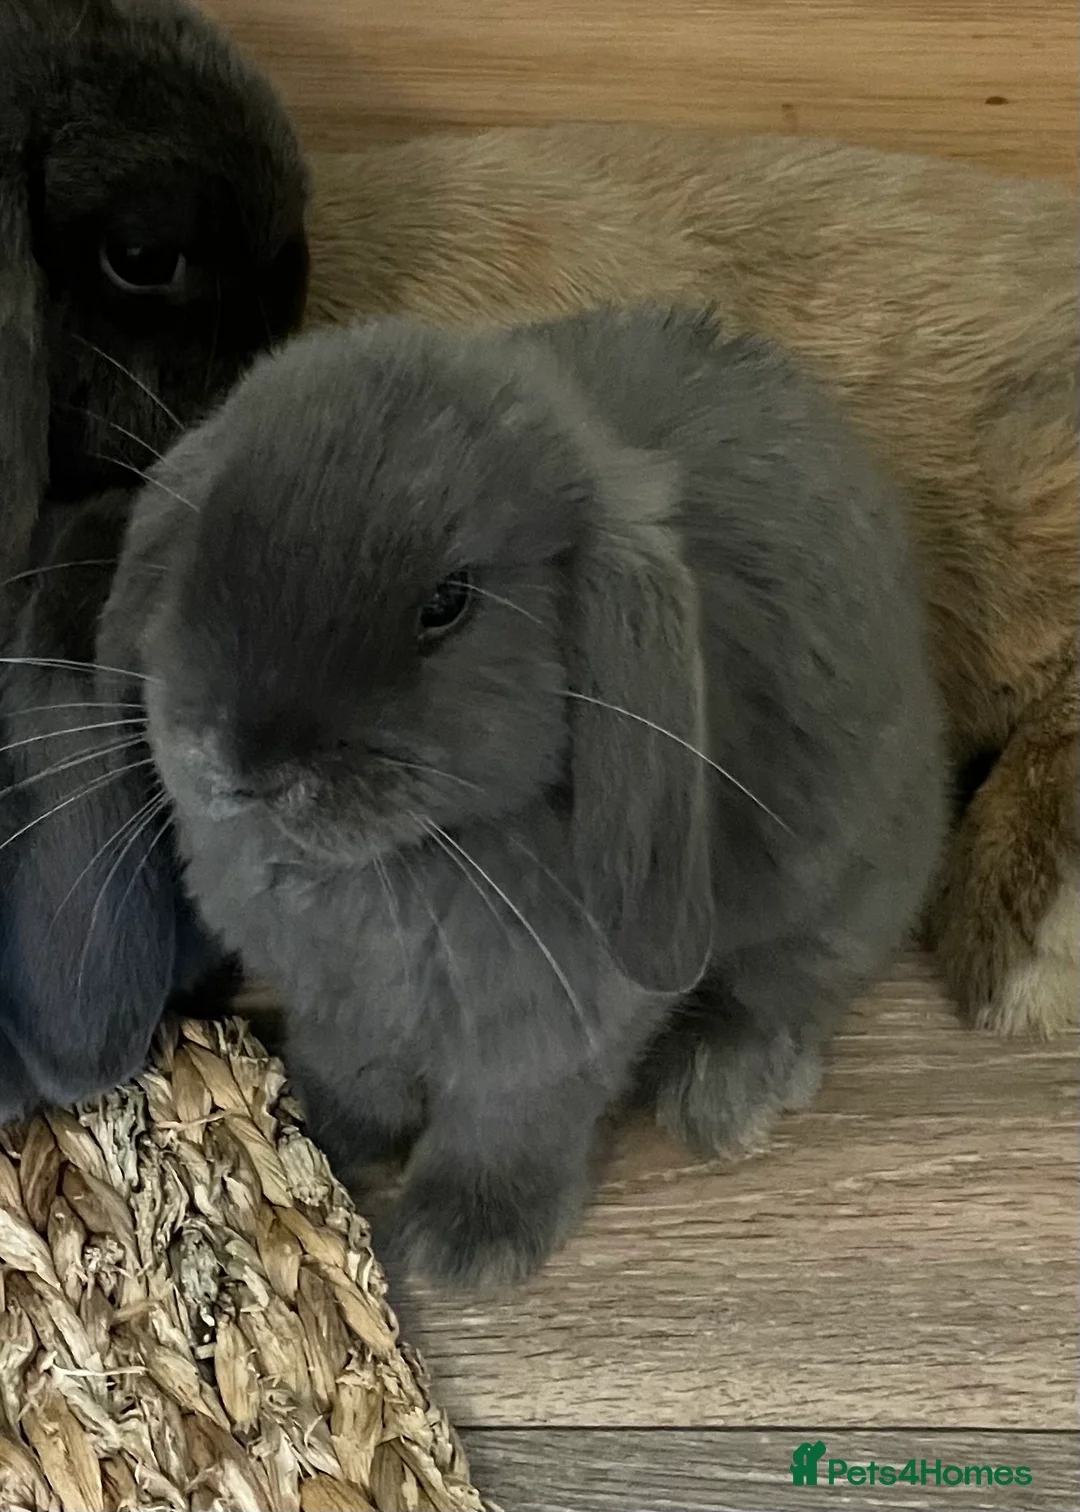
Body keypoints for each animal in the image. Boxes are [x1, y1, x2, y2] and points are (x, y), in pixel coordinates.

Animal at [97, 307, 947, 1287]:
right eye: (209, 542)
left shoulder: (549, 1033)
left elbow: (509, 1121)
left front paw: (464, 1246)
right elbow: (354, 1072)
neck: (413, 855)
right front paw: (329, 1142)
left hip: (842, 886)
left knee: (797, 982)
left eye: (448, 602)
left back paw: (722, 1092)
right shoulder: (341, 1008)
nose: (248, 757)